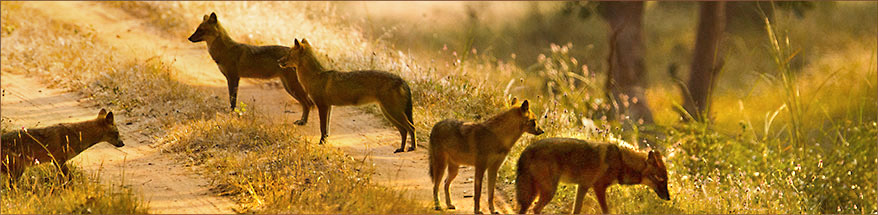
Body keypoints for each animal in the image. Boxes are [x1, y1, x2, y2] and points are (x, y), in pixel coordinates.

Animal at [282, 38, 420, 153]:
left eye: (289, 54)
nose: (279, 61)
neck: (315, 76)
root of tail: (402, 80)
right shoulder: (329, 107)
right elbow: (327, 129)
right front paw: (324, 141)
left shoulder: (322, 106)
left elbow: (322, 128)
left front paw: (321, 142)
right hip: (388, 113)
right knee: (404, 130)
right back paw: (401, 149)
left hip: (393, 112)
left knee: (411, 127)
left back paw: (412, 148)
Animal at [516, 138, 672, 213]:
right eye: (660, 179)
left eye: (666, 180)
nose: (668, 198)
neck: (622, 161)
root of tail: (528, 149)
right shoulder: (599, 188)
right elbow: (606, 211)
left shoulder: (583, 186)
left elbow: (576, 210)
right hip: (548, 191)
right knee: (535, 209)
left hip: (536, 192)